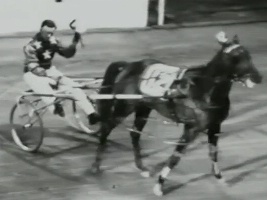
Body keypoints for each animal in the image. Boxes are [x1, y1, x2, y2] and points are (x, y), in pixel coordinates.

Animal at [91, 32, 262, 196]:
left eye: (247, 55)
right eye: (234, 58)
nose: (258, 77)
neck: (204, 90)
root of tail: (129, 65)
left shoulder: (215, 127)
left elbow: (213, 154)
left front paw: (220, 178)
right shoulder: (191, 128)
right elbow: (175, 157)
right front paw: (159, 186)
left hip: (143, 108)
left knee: (134, 134)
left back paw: (141, 167)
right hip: (124, 107)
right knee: (106, 129)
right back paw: (95, 166)